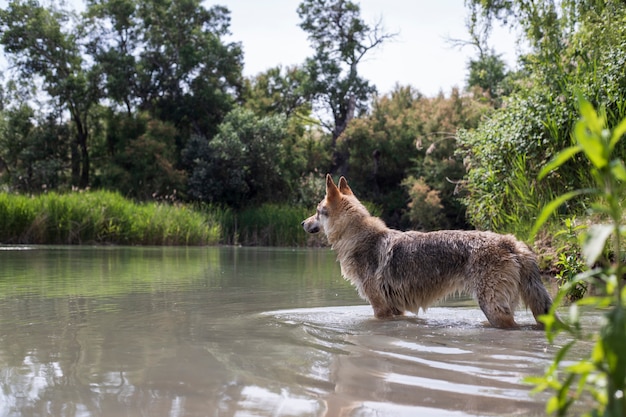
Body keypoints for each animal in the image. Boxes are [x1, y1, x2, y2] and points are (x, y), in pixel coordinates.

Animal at [302, 174, 552, 326]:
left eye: (317, 211)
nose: (303, 223)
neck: (358, 238)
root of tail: (509, 241)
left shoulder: (380, 309)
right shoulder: (396, 310)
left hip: (492, 308)